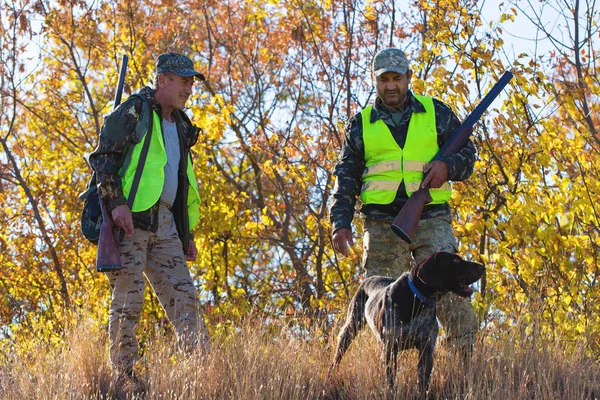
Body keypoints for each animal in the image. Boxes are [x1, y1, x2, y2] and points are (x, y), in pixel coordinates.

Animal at [330, 252, 486, 396]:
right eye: (455, 260)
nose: (482, 266)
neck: (418, 300)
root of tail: (368, 279)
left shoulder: (426, 350)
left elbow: (423, 384)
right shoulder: (390, 349)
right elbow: (391, 383)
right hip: (350, 328)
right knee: (337, 357)